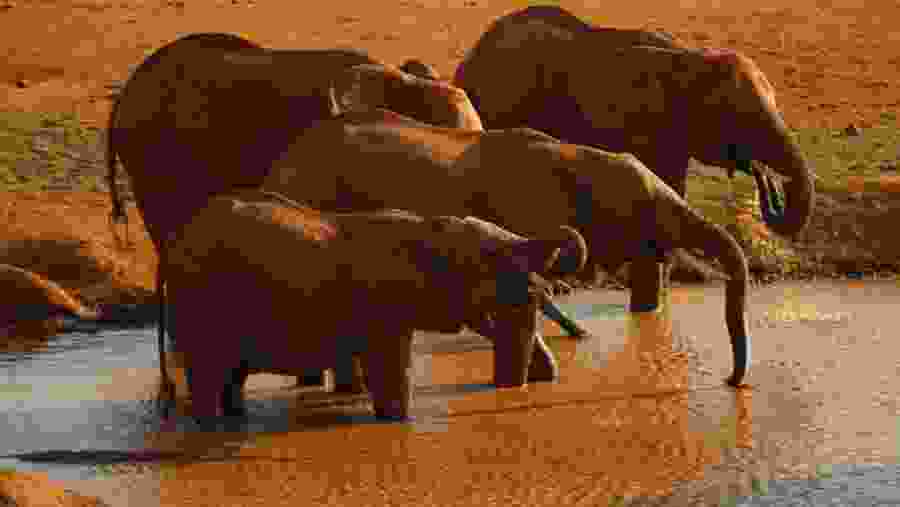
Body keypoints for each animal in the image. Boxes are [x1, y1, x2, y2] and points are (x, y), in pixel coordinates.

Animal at [163, 189, 588, 423]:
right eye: (495, 267)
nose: (512, 390)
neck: (433, 228)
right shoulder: (384, 306)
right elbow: (389, 366)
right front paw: (397, 421)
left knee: (230, 375)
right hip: (201, 298)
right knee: (209, 371)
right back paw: (210, 426)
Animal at [263, 106, 754, 387]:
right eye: (657, 211)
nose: (730, 382)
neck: (578, 159)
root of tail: (284, 159)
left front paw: (576, 336)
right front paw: (572, 337)